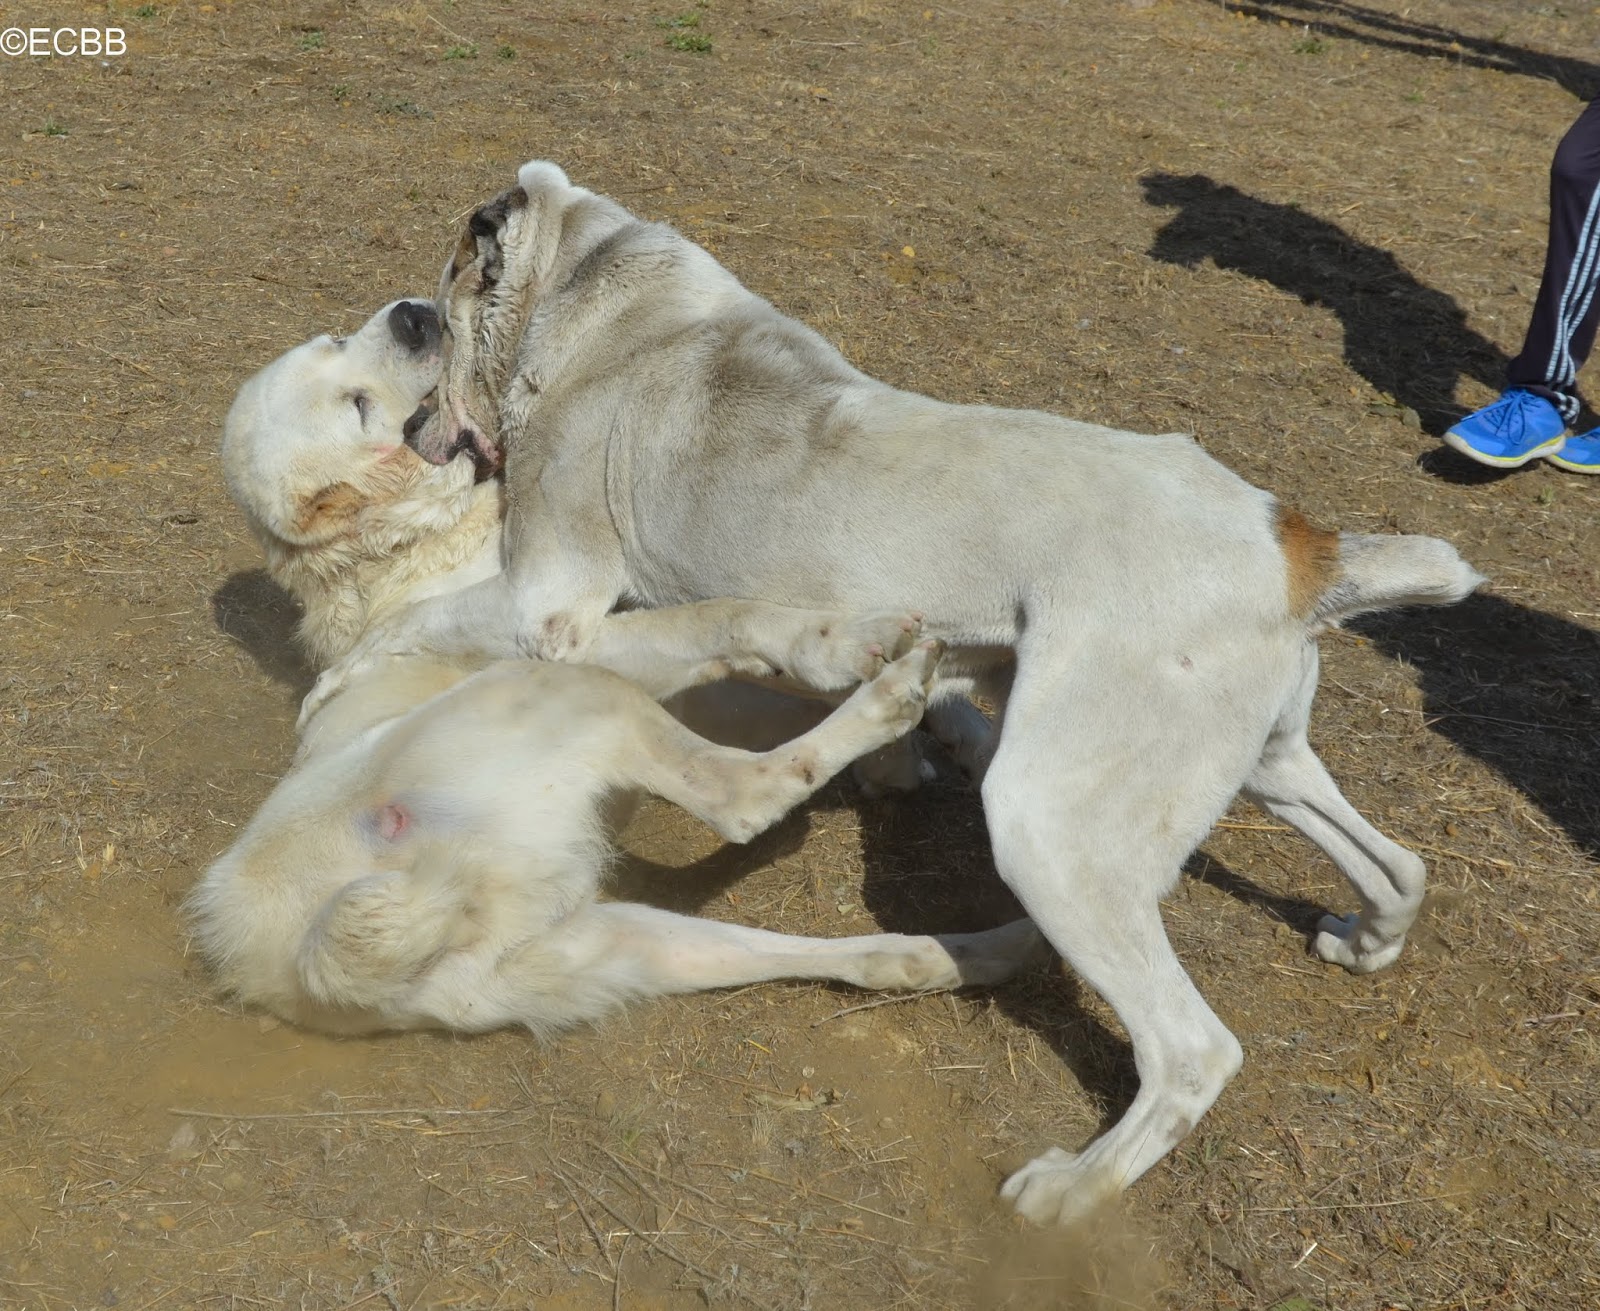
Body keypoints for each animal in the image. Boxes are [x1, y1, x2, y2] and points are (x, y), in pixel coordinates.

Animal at [191, 299, 1043, 1039]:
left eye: (338, 343)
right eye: (359, 407)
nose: (413, 315)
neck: (419, 541)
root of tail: (326, 956)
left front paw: (941, 742)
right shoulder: (572, 633)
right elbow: (721, 618)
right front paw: (845, 651)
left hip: (618, 940)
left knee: (863, 954)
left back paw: (985, 947)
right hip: (564, 697)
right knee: (741, 797)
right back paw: (888, 703)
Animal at [309, 162, 1487, 1222]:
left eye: (441, 318)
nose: (410, 435)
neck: (588, 291)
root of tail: (1295, 546)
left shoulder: (547, 603)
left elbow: (422, 622)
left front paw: (340, 682)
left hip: (1050, 826)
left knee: (1194, 1050)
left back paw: (1065, 1193)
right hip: (1262, 768)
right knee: (1398, 866)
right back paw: (1364, 941)